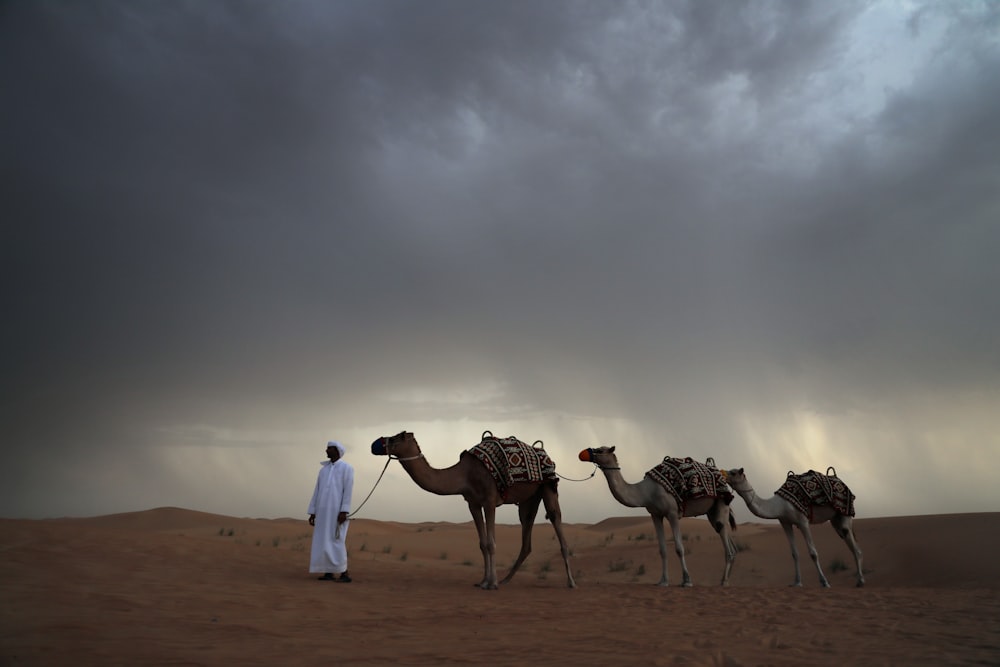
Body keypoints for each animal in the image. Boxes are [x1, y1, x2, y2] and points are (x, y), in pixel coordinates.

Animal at [370, 430, 576, 588]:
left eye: (395, 438)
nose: (374, 444)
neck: (464, 474)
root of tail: (545, 453)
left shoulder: (490, 500)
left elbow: (491, 543)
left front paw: (492, 584)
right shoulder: (473, 503)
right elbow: (482, 544)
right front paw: (484, 581)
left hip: (548, 487)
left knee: (556, 520)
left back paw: (571, 582)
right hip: (529, 499)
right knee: (526, 534)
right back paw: (506, 579)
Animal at [580, 446, 736, 588]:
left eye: (600, 450)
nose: (583, 453)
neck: (646, 492)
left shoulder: (672, 513)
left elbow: (679, 548)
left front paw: (686, 580)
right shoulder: (655, 515)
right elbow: (662, 550)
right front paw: (663, 581)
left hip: (721, 502)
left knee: (724, 537)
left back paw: (724, 581)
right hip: (712, 511)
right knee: (726, 538)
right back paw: (725, 579)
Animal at [724, 468, 864, 588]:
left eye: (733, 472)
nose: (722, 473)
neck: (779, 505)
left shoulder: (803, 521)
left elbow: (813, 553)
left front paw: (824, 582)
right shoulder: (785, 523)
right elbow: (794, 553)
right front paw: (797, 582)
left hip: (845, 514)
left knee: (854, 546)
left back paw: (860, 581)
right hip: (835, 519)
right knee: (848, 540)